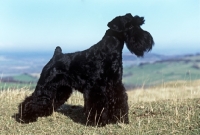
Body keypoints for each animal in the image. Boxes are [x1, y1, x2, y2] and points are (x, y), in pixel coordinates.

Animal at [18, 13, 154, 126]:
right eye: (130, 26)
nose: (148, 39)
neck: (107, 52)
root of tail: (57, 54)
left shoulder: (115, 85)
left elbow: (119, 101)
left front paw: (119, 119)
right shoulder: (96, 88)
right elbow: (97, 104)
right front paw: (97, 122)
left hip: (61, 89)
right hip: (46, 86)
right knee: (31, 100)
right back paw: (25, 117)